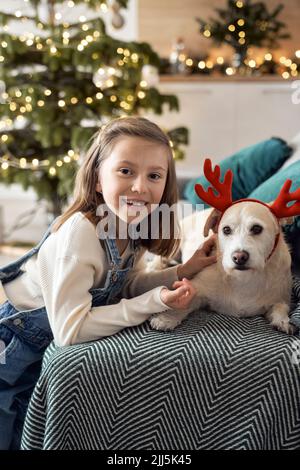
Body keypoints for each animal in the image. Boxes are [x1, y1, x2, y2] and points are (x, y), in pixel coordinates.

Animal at [150, 161, 298, 334]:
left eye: (257, 229)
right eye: (226, 230)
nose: (239, 257)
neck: (243, 279)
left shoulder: (281, 297)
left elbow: (280, 307)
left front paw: (283, 321)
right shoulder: (197, 289)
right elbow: (182, 304)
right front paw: (166, 318)